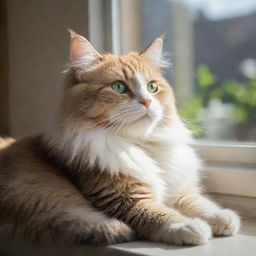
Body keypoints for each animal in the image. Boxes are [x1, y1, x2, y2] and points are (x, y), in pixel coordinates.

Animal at [0, 29, 240, 246]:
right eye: (118, 87)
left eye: (152, 87)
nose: (146, 101)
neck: (142, 146)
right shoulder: (124, 198)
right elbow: (161, 214)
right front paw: (190, 227)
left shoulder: (178, 189)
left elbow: (199, 203)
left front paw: (223, 217)